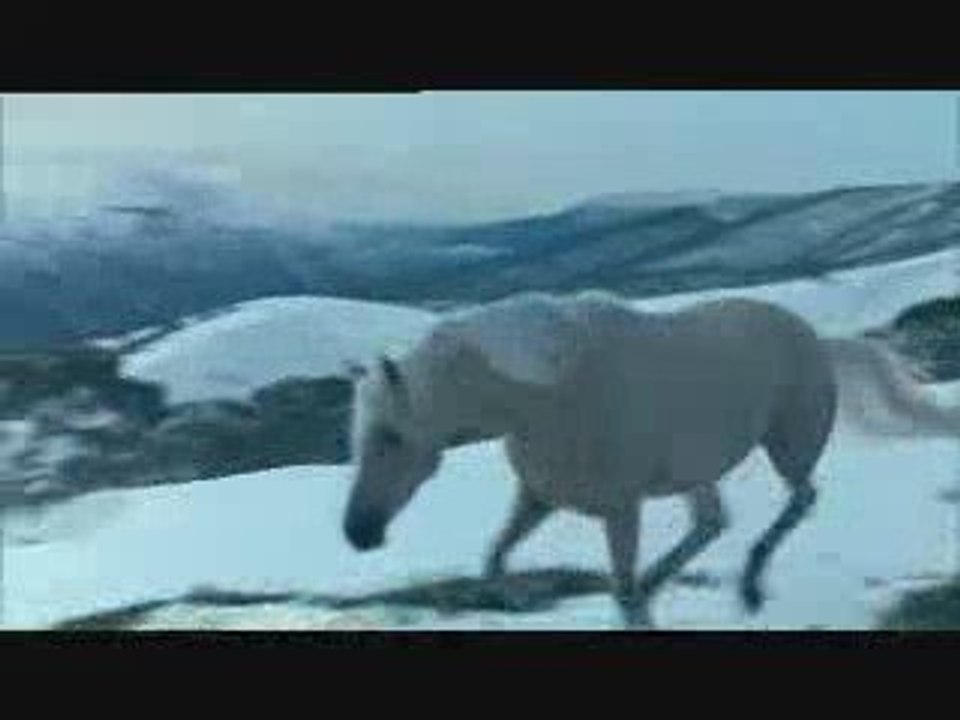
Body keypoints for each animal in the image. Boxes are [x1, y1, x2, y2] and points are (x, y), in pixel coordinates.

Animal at [341, 290, 960, 628]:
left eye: (391, 436)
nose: (359, 533)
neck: (548, 393)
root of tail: (818, 339)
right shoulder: (539, 497)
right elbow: (494, 559)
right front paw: (518, 599)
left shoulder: (621, 510)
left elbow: (616, 588)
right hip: (698, 471)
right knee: (712, 522)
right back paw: (670, 582)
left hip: (790, 447)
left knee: (800, 500)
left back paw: (750, 587)